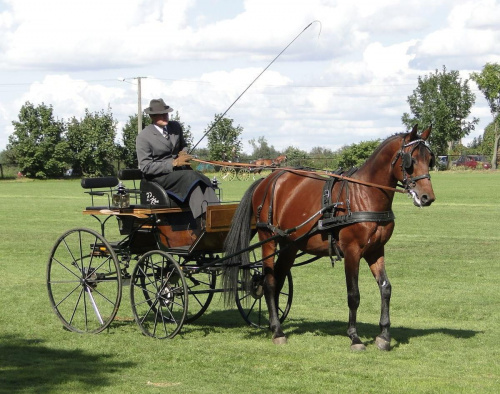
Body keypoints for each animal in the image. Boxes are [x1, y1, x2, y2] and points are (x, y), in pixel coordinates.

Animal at [225, 124, 436, 350]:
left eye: (429, 159)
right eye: (411, 161)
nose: (427, 197)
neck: (364, 195)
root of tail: (266, 180)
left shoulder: (376, 250)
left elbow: (385, 288)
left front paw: (384, 336)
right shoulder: (352, 251)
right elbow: (353, 294)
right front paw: (354, 337)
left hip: (290, 244)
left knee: (278, 280)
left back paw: (275, 326)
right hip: (269, 238)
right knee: (269, 282)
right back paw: (277, 331)